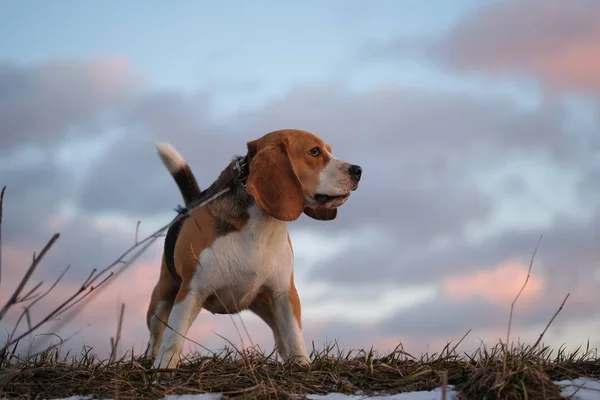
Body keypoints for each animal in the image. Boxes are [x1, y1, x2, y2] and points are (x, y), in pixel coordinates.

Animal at [145, 129, 360, 368]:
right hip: (160, 299)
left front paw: (303, 365)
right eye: (314, 152)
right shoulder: (192, 291)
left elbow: (295, 336)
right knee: (157, 336)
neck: (263, 225)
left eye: (329, 151)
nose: (358, 170)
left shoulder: (284, 293)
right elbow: (173, 338)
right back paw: (150, 358)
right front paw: (163, 369)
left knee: (282, 339)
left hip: (265, 303)